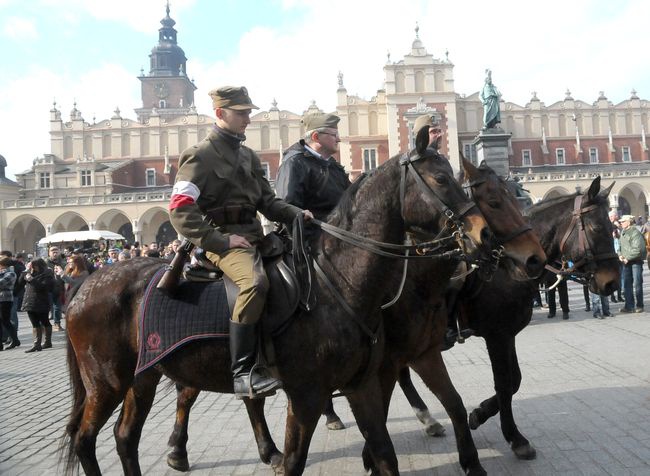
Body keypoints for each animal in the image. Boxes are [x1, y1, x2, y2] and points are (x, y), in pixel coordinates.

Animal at [60, 147, 488, 474]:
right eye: (441, 179)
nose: (481, 234)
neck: (337, 282)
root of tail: (87, 283)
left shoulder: (361, 383)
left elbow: (385, 454)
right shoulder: (306, 394)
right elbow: (296, 460)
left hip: (143, 378)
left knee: (125, 437)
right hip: (107, 382)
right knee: (85, 439)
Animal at [456, 177, 616, 460]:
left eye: (611, 226)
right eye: (597, 227)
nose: (612, 283)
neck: (508, 265)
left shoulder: (508, 334)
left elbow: (514, 381)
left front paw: (479, 413)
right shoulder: (497, 336)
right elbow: (504, 384)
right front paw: (514, 437)